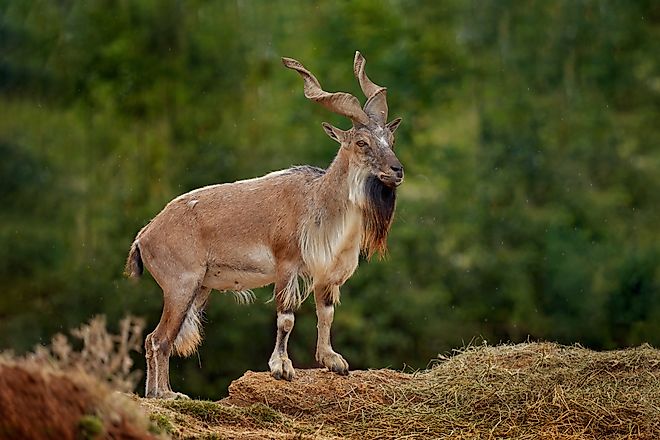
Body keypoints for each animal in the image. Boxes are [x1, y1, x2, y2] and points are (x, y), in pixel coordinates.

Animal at [125, 51, 404, 399]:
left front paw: (333, 361)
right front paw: (281, 367)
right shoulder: (287, 264)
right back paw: (164, 394)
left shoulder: (326, 274)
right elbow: (286, 317)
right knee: (158, 339)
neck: (318, 202)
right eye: (362, 142)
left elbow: (326, 314)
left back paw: (159, 393)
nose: (397, 170)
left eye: (390, 138)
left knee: (159, 339)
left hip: (199, 288)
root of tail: (144, 236)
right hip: (180, 285)